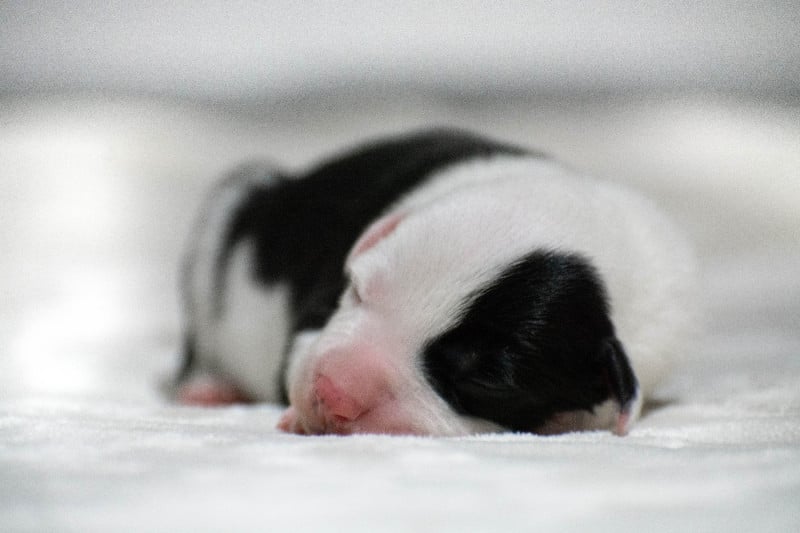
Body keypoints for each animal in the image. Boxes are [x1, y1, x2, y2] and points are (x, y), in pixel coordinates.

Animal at [173, 128, 697, 436]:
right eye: (357, 290)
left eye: (485, 379)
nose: (333, 392)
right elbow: (297, 347)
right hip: (230, 205)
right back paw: (207, 388)